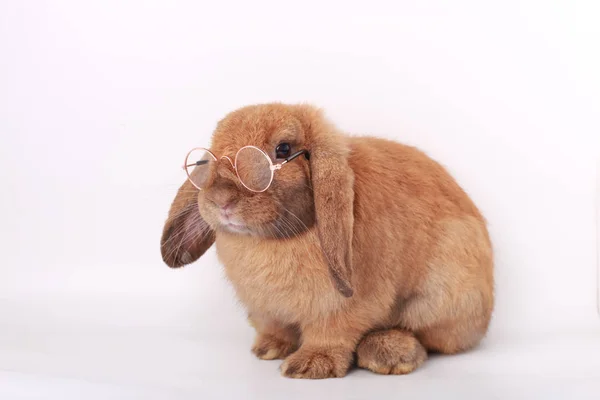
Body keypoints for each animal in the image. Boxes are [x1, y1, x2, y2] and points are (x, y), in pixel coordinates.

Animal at [159, 103, 492, 378]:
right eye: (213, 154)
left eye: (283, 149)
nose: (222, 199)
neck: (274, 240)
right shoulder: (267, 311)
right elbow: (276, 327)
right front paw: (268, 349)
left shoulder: (342, 308)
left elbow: (331, 333)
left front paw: (309, 366)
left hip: (439, 297)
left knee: (429, 337)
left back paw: (386, 354)